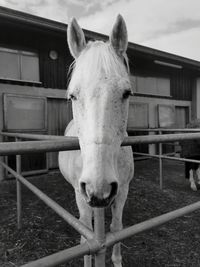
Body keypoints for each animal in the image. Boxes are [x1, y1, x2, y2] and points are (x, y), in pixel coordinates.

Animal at [59, 15, 134, 267]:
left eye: (126, 93)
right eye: (72, 95)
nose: (98, 187)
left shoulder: (122, 190)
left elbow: (117, 228)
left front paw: (117, 260)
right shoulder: (82, 195)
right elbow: (86, 238)